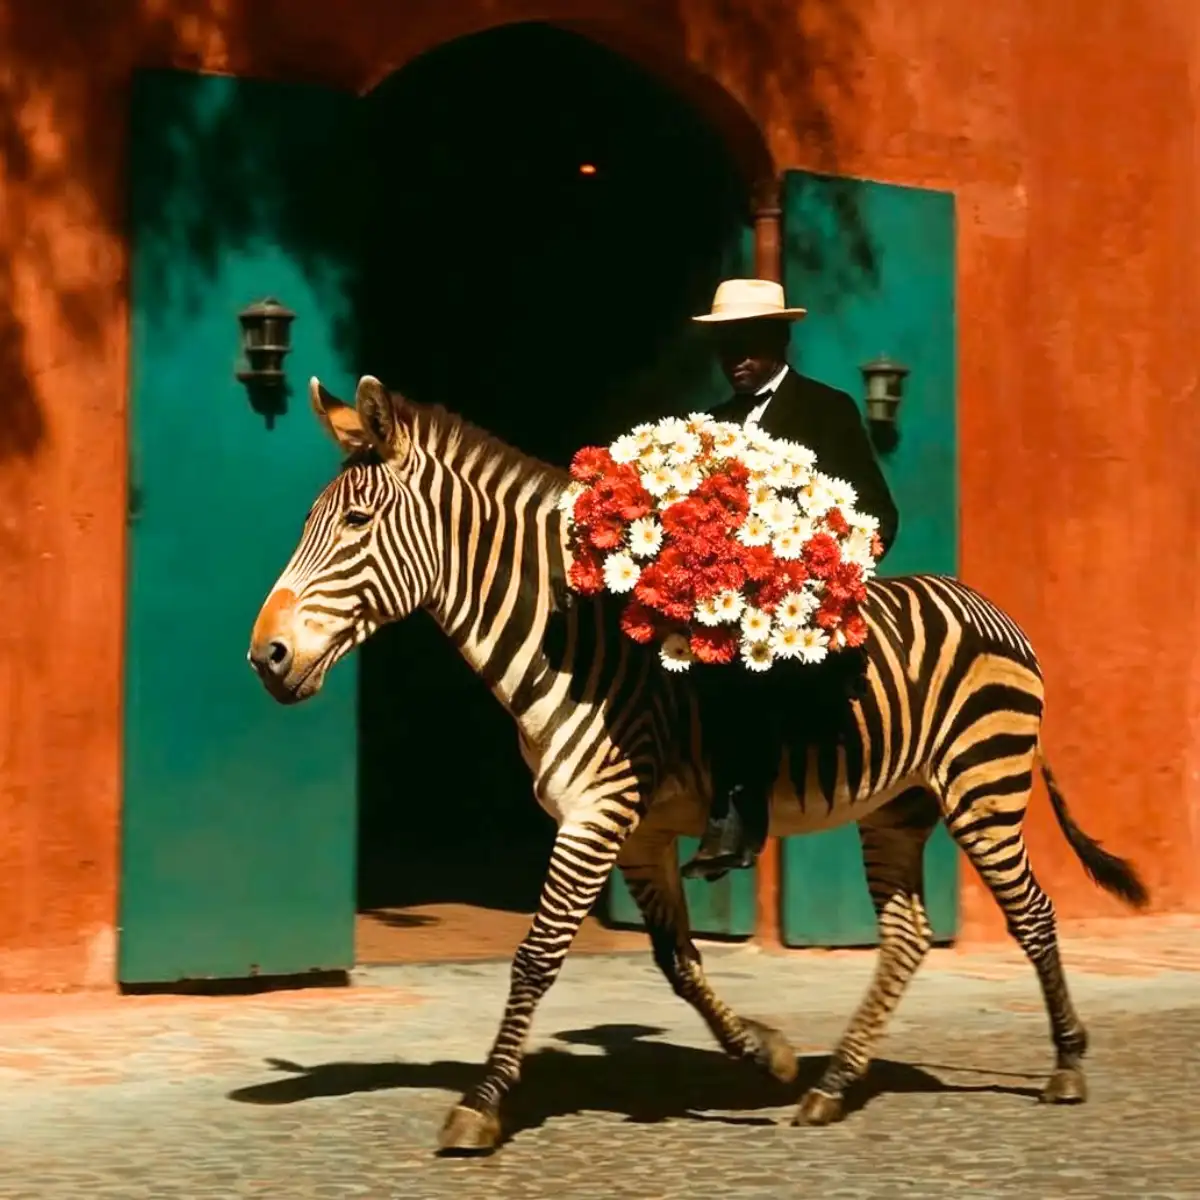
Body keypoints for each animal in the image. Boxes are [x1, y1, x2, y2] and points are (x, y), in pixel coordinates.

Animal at [249, 374, 1148, 1155]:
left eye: (356, 523)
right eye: (311, 521)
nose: (266, 657)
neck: (571, 643)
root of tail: (997, 612)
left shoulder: (597, 812)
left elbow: (536, 955)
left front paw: (480, 1105)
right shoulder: (637, 831)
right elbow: (677, 962)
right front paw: (767, 1053)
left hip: (983, 790)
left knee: (1033, 916)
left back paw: (1067, 1064)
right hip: (900, 807)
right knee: (906, 936)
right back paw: (832, 1087)